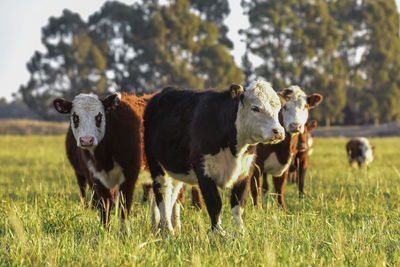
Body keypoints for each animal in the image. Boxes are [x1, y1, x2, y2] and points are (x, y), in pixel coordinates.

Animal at [53, 92, 142, 228]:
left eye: (99, 117)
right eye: (75, 117)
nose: (86, 140)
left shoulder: (130, 175)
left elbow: (124, 206)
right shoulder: (96, 177)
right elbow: (105, 206)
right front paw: (105, 231)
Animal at [144, 80, 284, 236]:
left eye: (278, 108)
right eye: (255, 108)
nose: (278, 131)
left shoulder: (246, 172)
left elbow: (238, 205)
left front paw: (241, 233)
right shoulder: (203, 171)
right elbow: (215, 204)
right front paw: (218, 233)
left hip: (176, 169)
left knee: (171, 195)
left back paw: (165, 228)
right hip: (156, 166)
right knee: (162, 193)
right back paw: (167, 230)